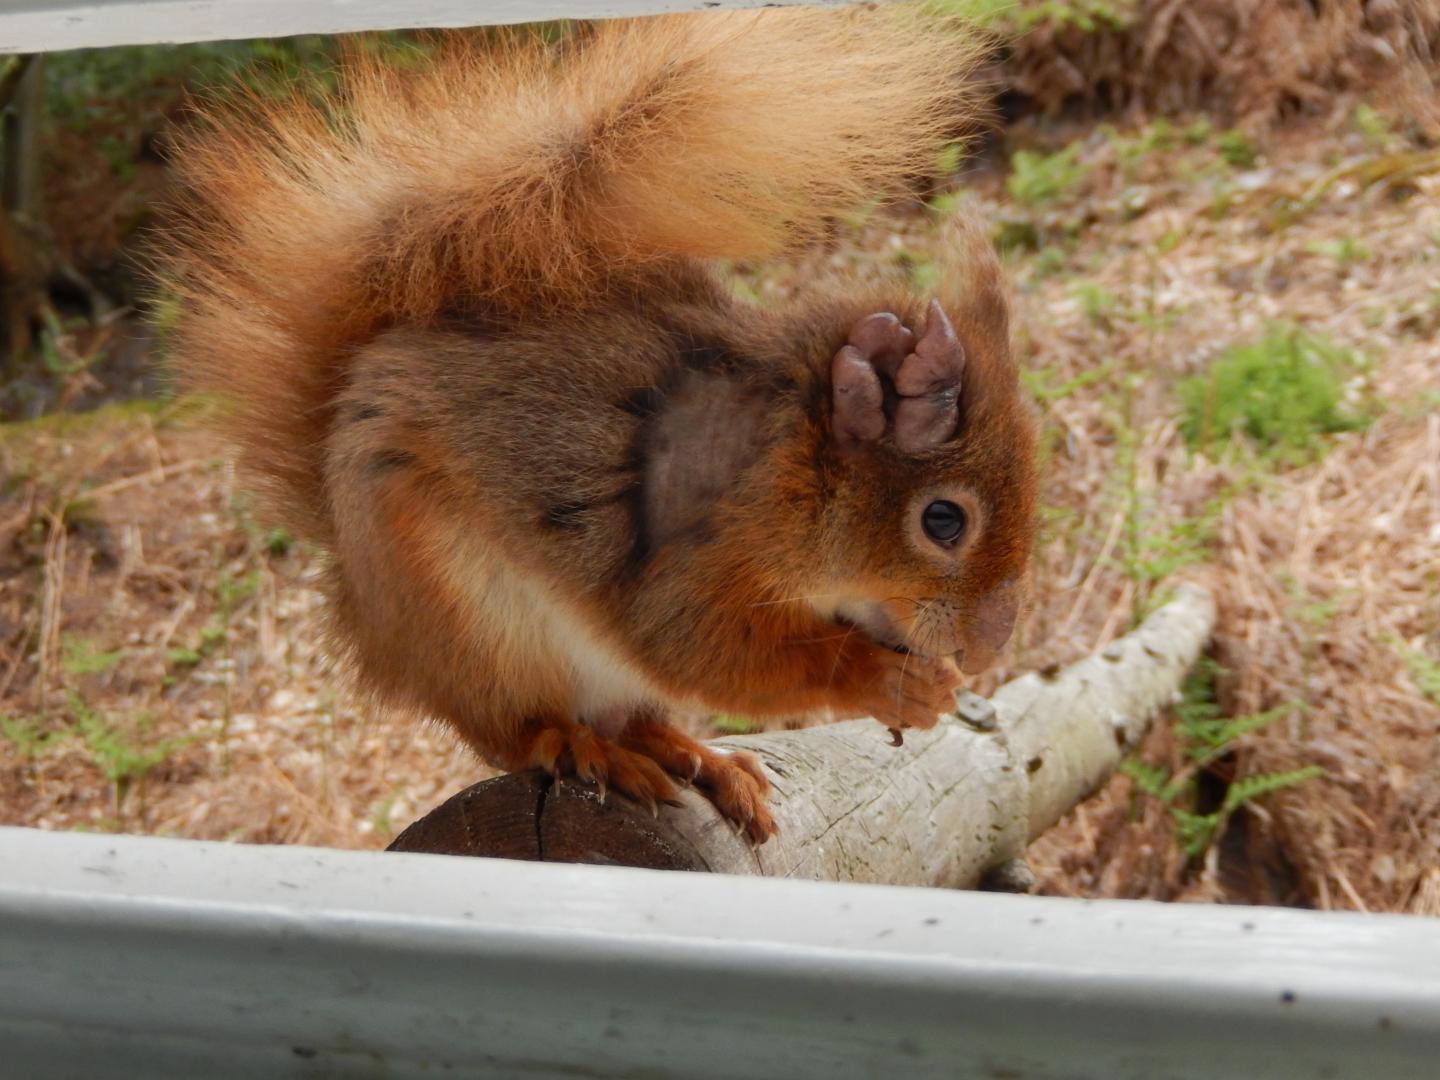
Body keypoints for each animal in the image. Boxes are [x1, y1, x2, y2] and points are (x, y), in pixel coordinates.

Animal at [163, 7, 1038, 843]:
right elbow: (707, 648)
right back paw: (583, 748)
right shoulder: (693, 561)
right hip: (467, 617)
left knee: (634, 716)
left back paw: (696, 757)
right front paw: (888, 682)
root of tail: (368, 615)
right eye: (943, 520)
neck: (792, 457)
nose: (989, 647)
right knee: (513, 731)